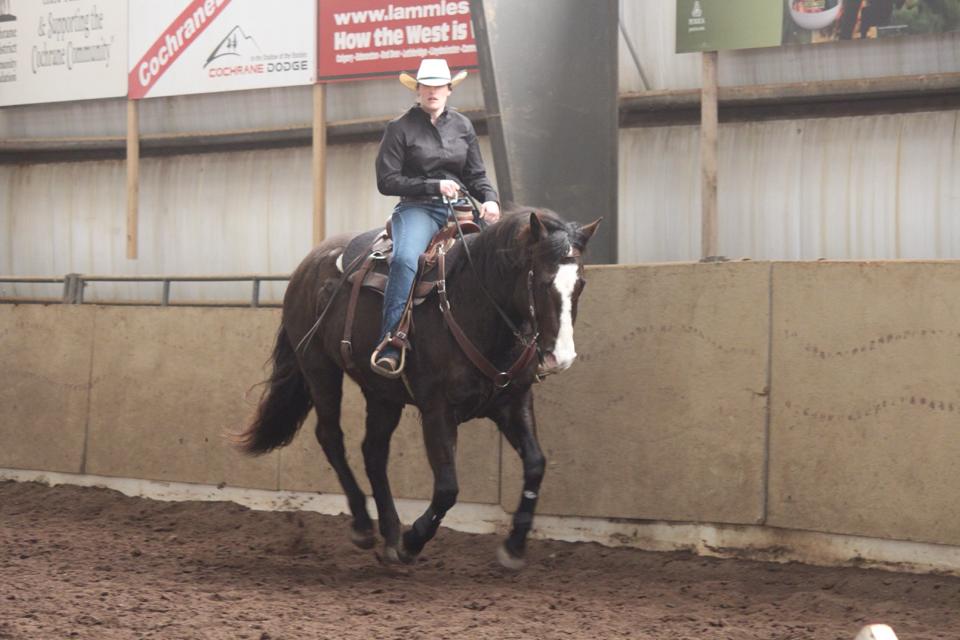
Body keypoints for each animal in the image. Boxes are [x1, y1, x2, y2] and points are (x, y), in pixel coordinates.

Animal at [236, 207, 600, 569]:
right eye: (542, 281)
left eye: (580, 283)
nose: (561, 357)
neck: (474, 304)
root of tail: (307, 266)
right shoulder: (437, 411)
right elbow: (448, 487)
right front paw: (413, 541)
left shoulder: (514, 403)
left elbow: (536, 465)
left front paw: (514, 546)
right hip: (319, 368)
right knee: (331, 437)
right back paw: (365, 527)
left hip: (382, 394)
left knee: (373, 451)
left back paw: (390, 533)